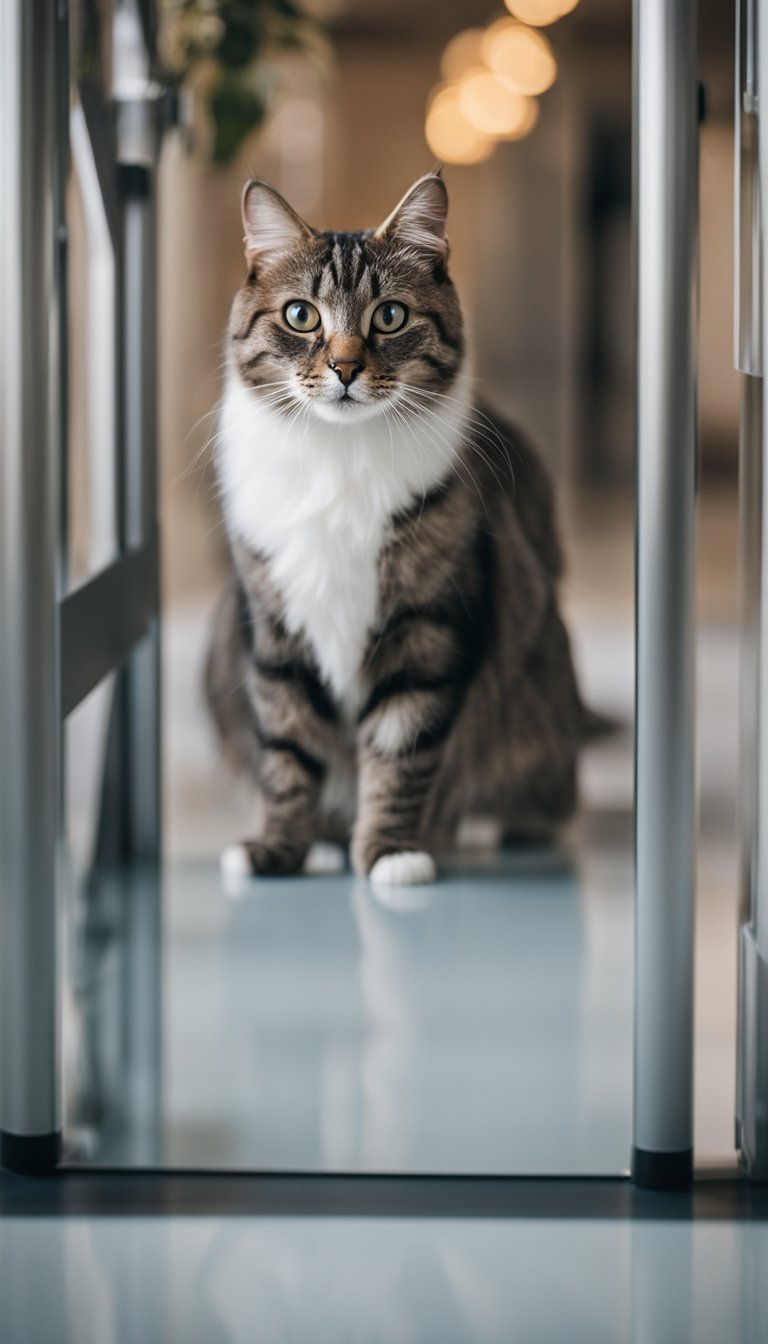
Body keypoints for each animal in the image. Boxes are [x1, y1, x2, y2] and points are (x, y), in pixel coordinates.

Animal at [207, 173, 586, 887]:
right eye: (301, 315)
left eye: (389, 316)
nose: (345, 369)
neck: (340, 458)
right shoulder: (277, 631)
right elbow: (286, 753)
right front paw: (279, 848)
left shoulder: (427, 627)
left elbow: (402, 748)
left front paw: (390, 852)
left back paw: (481, 823)